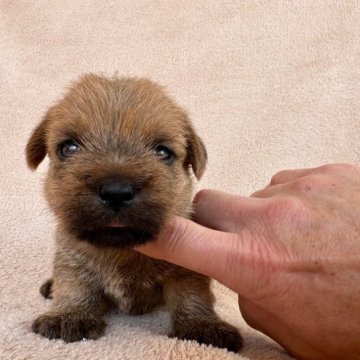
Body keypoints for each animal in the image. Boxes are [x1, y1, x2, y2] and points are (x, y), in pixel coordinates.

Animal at [25, 74, 242, 352]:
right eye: (69, 147)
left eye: (163, 151)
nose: (116, 192)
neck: (120, 252)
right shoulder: (71, 255)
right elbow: (74, 283)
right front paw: (69, 315)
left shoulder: (188, 267)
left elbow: (192, 294)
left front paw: (202, 325)